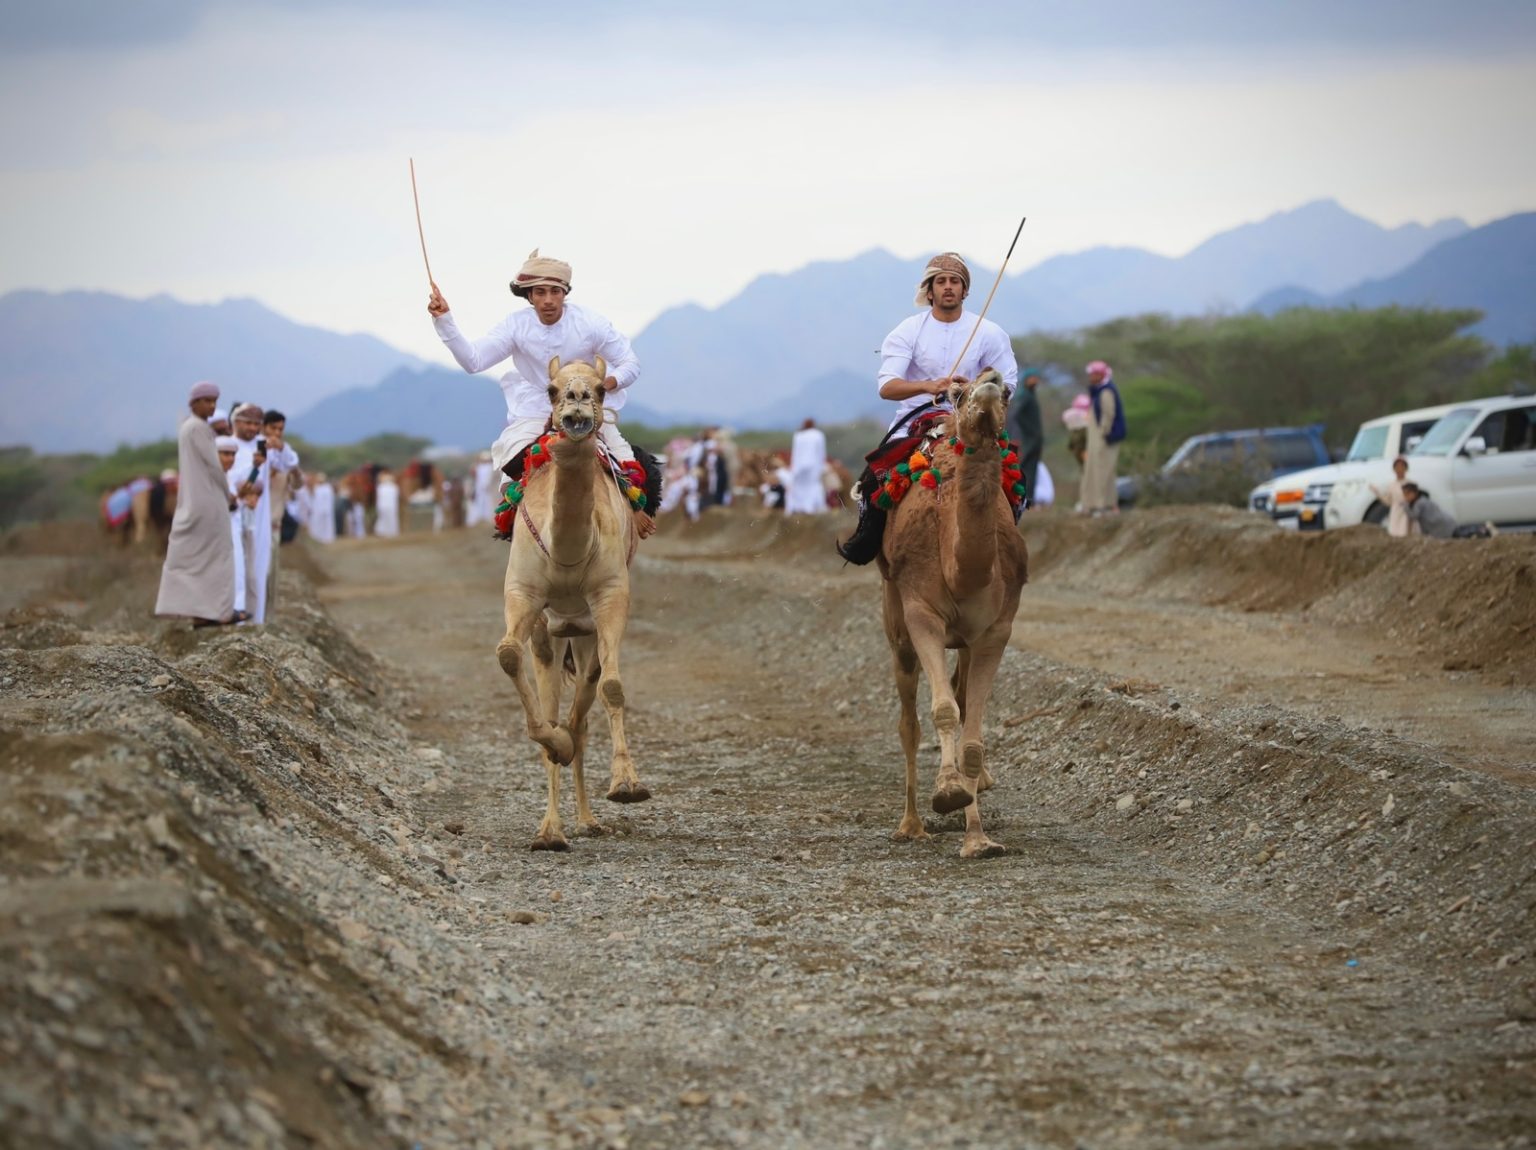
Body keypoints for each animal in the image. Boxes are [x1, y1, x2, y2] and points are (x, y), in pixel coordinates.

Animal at [496, 355, 650, 850]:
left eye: (601, 389)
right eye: (551, 389)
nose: (577, 401)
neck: (566, 549)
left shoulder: (610, 597)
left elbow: (612, 689)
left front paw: (626, 784)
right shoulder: (524, 595)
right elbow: (509, 657)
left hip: (583, 635)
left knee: (583, 709)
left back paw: (587, 819)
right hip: (553, 635)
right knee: (558, 712)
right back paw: (553, 830)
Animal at [877, 370, 1028, 858]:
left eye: (1007, 392)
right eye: (958, 393)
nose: (990, 381)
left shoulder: (996, 629)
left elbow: (973, 737)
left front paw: (978, 838)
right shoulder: (922, 613)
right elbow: (943, 711)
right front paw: (946, 792)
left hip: (963, 641)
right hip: (896, 623)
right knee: (909, 720)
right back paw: (910, 823)